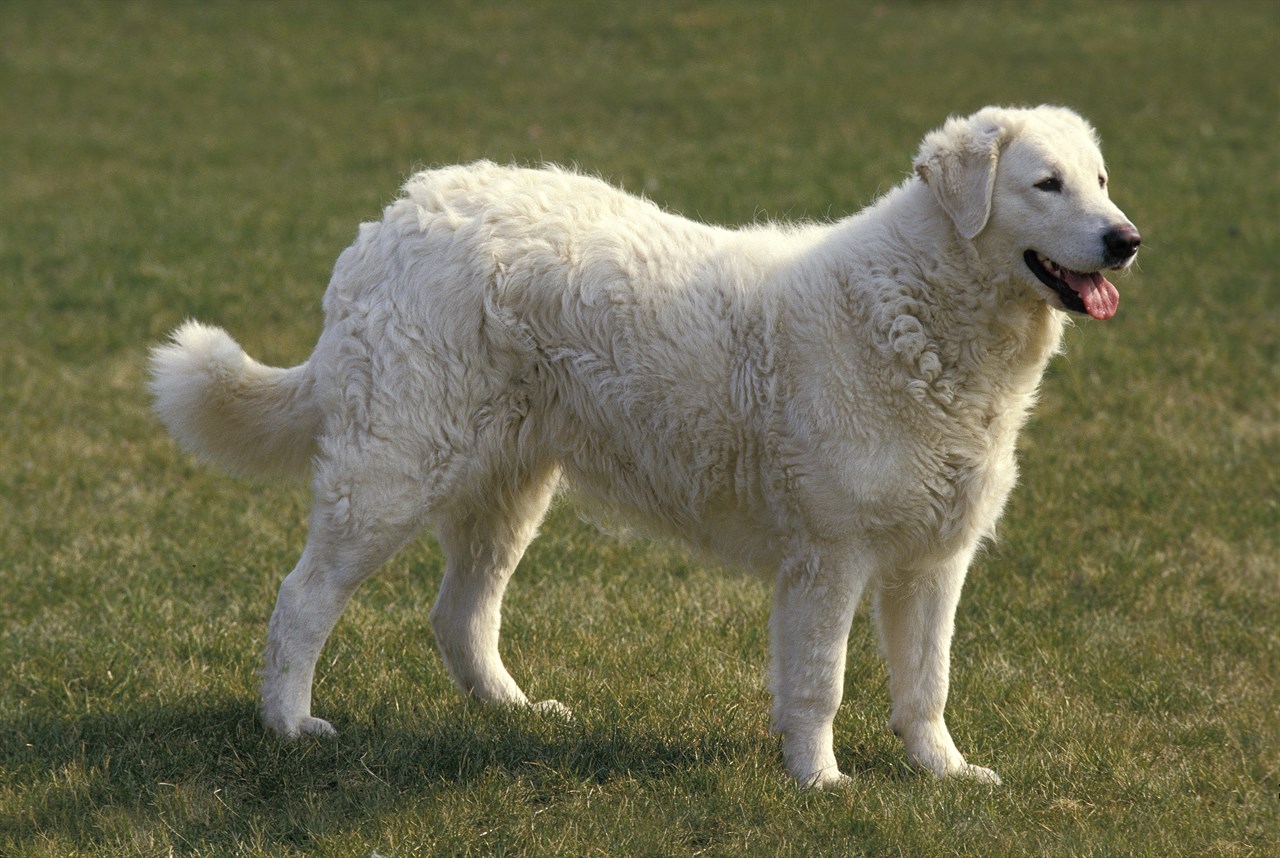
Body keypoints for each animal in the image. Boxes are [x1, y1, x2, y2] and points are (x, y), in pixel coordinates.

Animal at [149, 104, 1141, 788]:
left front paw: (944, 775)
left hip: (509, 487)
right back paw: (289, 727)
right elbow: (818, 683)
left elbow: (927, 684)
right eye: (1046, 184)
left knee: (460, 613)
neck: (925, 311)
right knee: (303, 600)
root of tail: (391, 220)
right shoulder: (831, 556)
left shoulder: (934, 558)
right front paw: (821, 784)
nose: (1127, 239)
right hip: (392, 472)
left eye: (1100, 179)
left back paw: (516, 713)